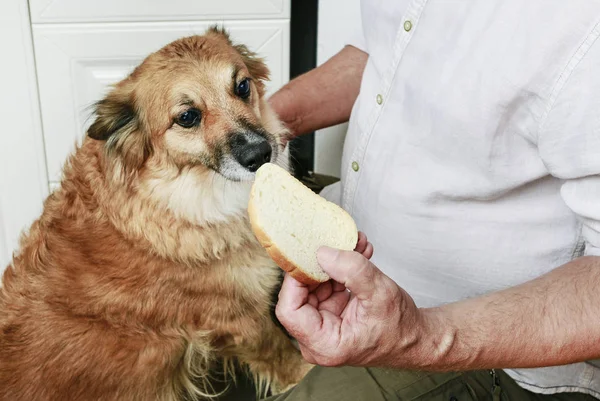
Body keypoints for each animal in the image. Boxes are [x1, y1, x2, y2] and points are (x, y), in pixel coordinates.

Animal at [1, 26, 314, 398]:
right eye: (188, 117)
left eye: (242, 86)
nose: (261, 154)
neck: (174, 197)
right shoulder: (243, 320)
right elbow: (285, 358)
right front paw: (307, 368)